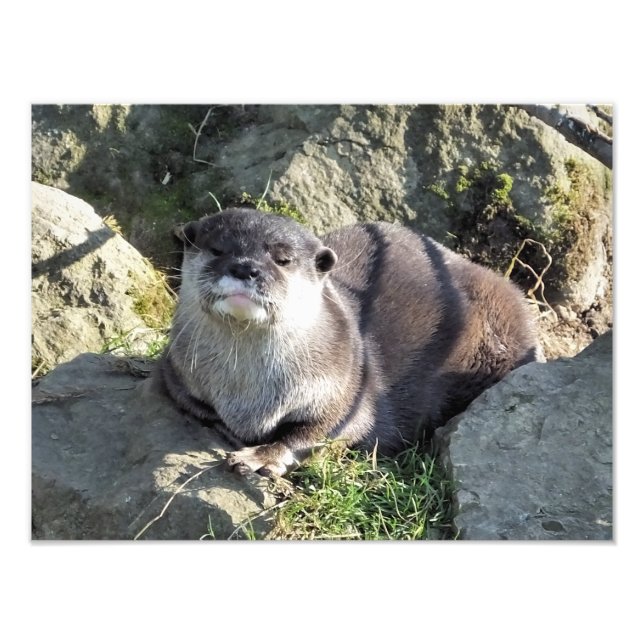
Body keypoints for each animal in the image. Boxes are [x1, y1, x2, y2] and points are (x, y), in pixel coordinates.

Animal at [157, 208, 539, 477]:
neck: (247, 396)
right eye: (217, 249)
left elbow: (319, 431)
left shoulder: (347, 387)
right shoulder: (176, 370)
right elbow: (199, 408)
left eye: (283, 259)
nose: (245, 267)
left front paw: (261, 456)